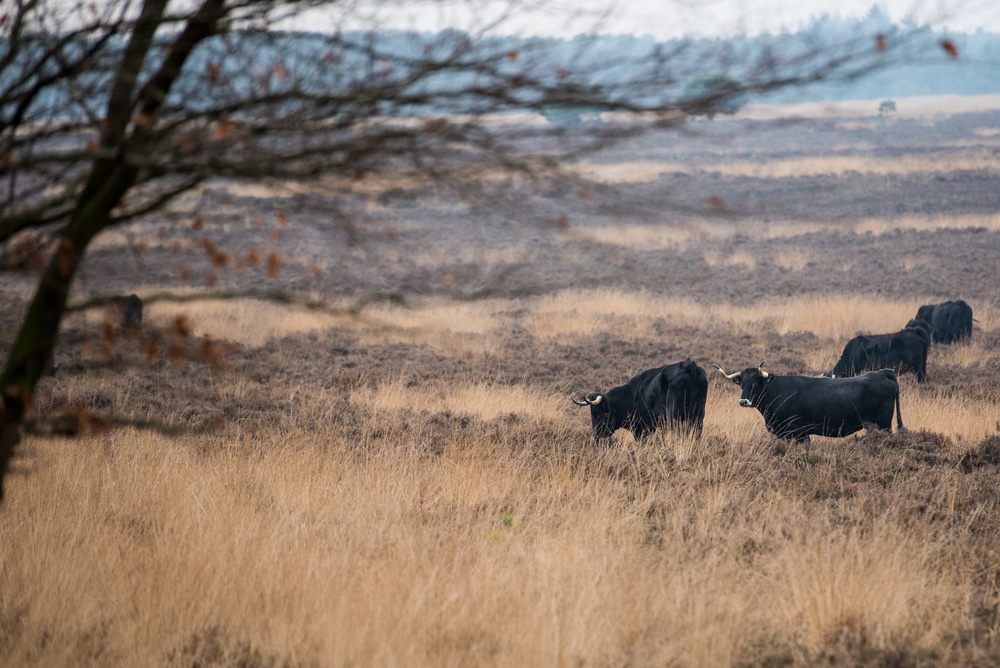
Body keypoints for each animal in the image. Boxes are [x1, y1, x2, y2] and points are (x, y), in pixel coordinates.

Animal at [572, 360, 712, 444]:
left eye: (601, 413)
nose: (596, 436)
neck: (633, 394)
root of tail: (689, 365)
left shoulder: (642, 429)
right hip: (698, 415)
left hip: (674, 415)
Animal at [712, 360, 908, 444]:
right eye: (741, 384)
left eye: (755, 384)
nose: (743, 401)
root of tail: (883, 372)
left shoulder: (797, 433)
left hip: (884, 425)